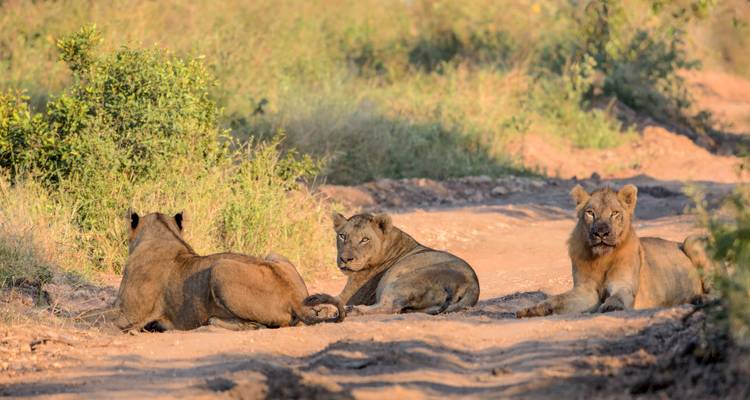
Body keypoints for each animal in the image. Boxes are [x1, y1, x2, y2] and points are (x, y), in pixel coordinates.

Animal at [114, 211, 344, 331]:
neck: (163, 235)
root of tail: (295, 298)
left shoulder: (128, 316)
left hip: (220, 268)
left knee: (255, 325)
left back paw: (212, 321)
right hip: (274, 254)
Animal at [331, 212, 480, 316]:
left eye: (364, 239)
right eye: (342, 236)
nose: (345, 259)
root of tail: (473, 285)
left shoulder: (352, 296)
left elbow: (336, 299)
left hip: (402, 281)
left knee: (389, 307)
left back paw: (352, 310)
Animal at [517, 184, 713, 318]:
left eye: (614, 213)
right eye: (590, 213)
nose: (601, 232)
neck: (601, 259)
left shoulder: (623, 284)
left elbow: (618, 296)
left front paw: (612, 306)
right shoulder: (585, 291)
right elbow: (558, 299)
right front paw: (531, 309)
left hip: (690, 240)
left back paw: (701, 299)